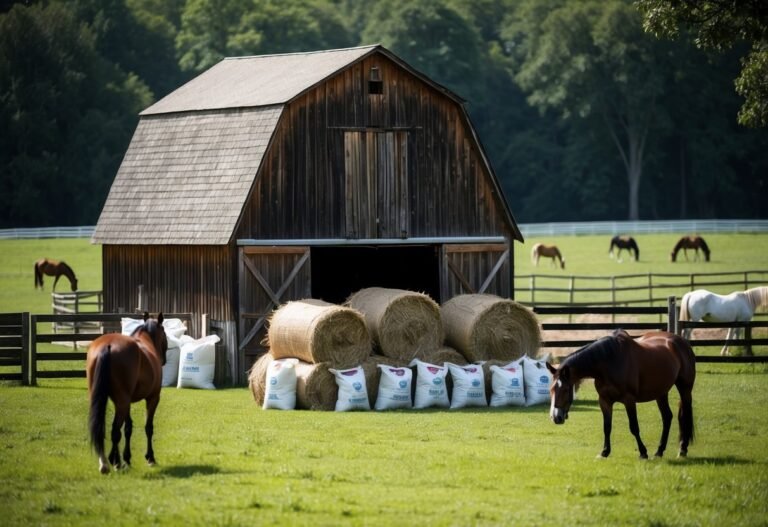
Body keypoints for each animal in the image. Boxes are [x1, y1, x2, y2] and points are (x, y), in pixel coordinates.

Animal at [89, 312, 169, 476]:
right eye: (164, 331)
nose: (164, 359)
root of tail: (108, 346)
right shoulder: (153, 398)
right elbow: (148, 427)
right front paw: (150, 457)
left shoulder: (127, 401)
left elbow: (128, 428)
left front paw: (127, 458)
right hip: (123, 402)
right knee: (114, 430)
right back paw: (115, 463)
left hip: (113, 400)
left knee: (103, 428)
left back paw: (106, 461)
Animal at [544, 328, 696, 460]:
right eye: (551, 390)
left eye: (565, 389)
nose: (556, 417)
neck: (608, 362)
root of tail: (680, 342)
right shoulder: (604, 401)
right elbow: (607, 427)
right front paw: (605, 452)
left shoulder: (629, 400)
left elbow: (634, 427)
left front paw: (643, 452)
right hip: (660, 393)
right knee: (667, 417)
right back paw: (659, 451)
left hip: (685, 389)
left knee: (685, 415)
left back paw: (683, 449)